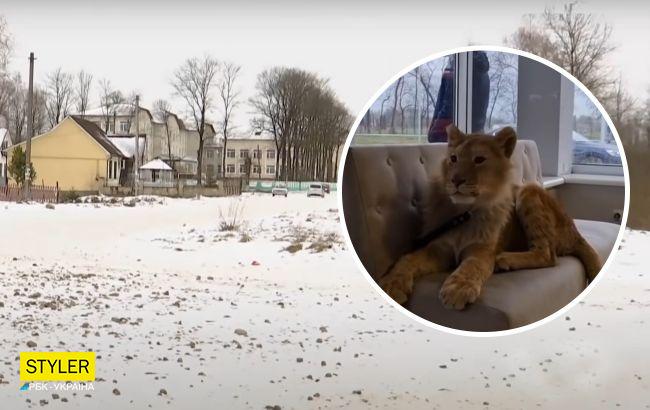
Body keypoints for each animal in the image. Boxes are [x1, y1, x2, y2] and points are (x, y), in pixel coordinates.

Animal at [379, 124, 602, 310]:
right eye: (453, 159)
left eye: (479, 159)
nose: (456, 180)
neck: (463, 212)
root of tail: (575, 230)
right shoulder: (438, 248)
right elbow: (407, 259)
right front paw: (391, 284)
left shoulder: (483, 251)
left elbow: (472, 267)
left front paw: (458, 289)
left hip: (528, 190)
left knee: (548, 255)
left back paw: (505, 259)